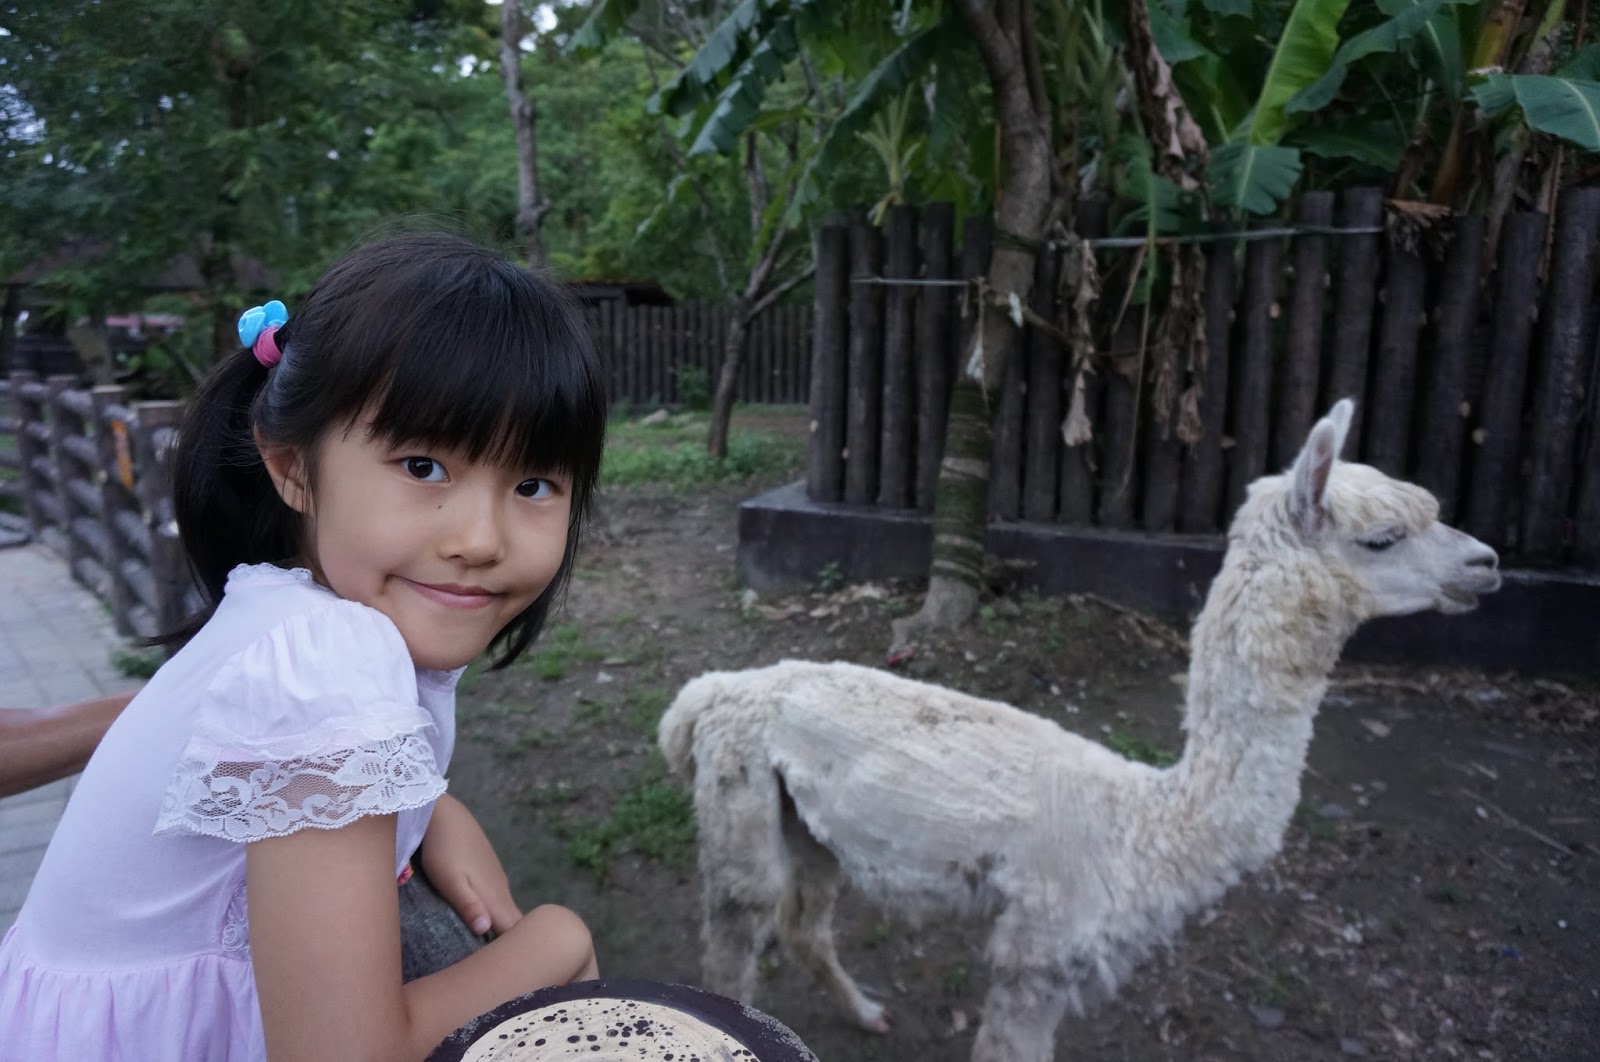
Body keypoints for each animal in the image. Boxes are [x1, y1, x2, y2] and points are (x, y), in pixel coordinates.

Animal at [659, 399, 1503, 1061]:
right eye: (1384, 536)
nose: (1489, 561)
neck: (1146, 826)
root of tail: (712, 690)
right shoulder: (1038, 958)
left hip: (808, 829)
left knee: (803, 925)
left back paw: (867, 1014)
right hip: (740, 809)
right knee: (735, 941)